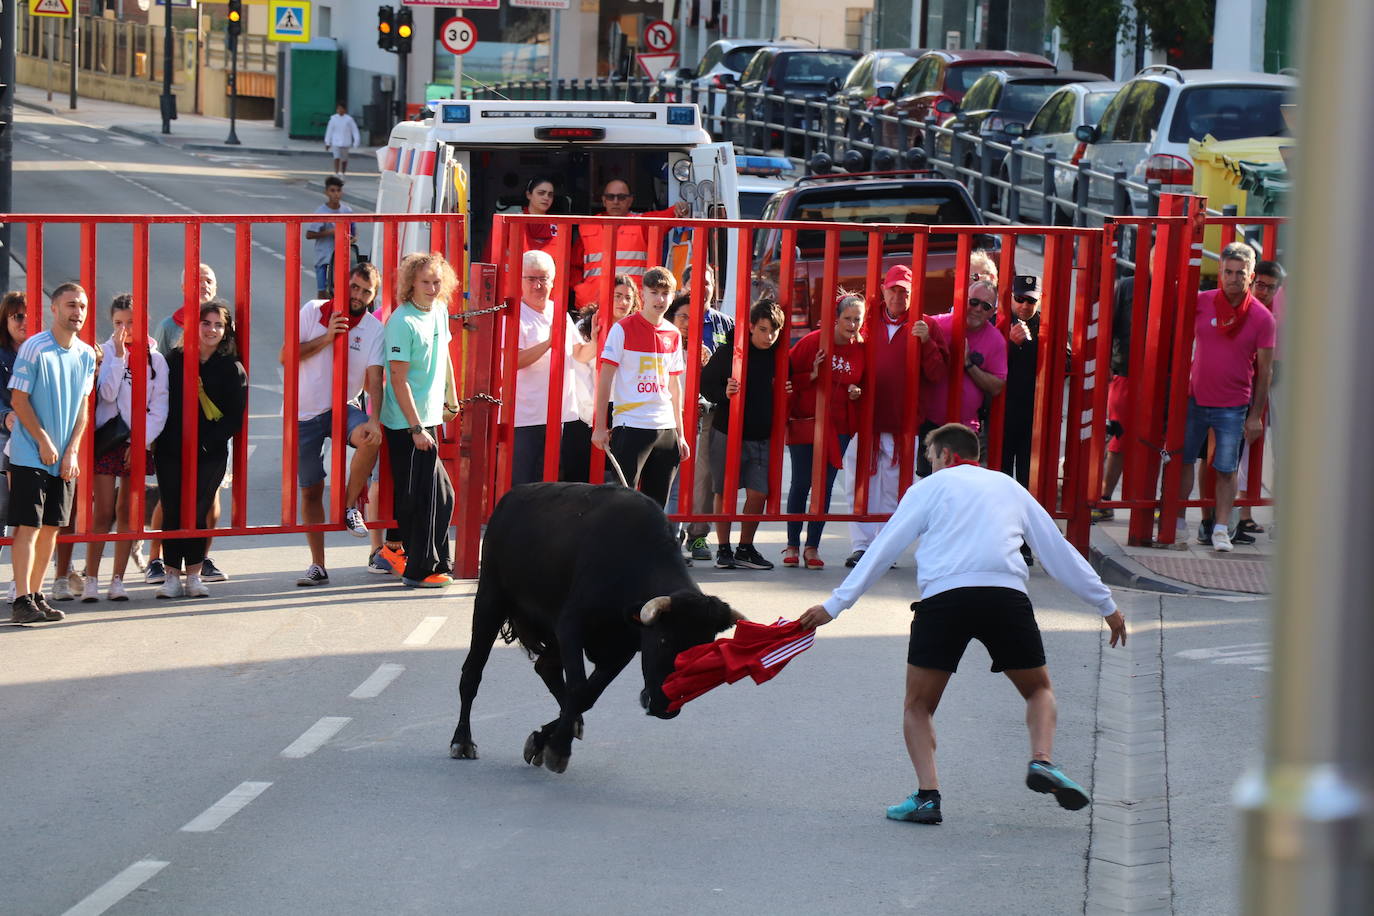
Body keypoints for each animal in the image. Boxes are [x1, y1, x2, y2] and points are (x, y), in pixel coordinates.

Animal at [450, 483, 741, 769]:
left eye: (705, 651)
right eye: (664, 640)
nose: (665, 707)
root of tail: (510, 497)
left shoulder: (623, 648)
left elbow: (589, 694)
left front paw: (546, 739)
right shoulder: (571, 627)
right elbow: (579, 688)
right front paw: (558, 748)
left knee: (546, 668)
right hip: (491, 601)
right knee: (472, 673)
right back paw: (462, 741)